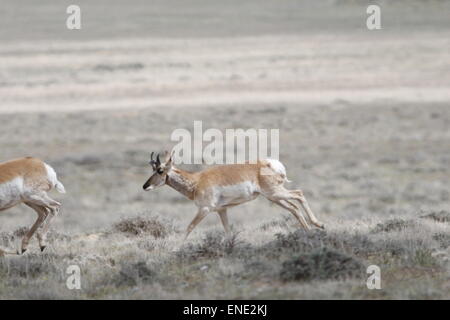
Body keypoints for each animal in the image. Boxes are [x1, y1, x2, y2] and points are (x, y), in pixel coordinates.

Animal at [144, 151, 324, 239]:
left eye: (160, 170)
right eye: (153, 169)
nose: (145, 186)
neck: (197, 180)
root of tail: (270, 163)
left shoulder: (204, 210)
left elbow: (189, 227)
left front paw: (177, 247)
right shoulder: (222, 210)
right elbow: (228, 230)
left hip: (275, 193)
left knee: (299, 194)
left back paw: (319, 224)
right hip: (274, 197)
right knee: (294, 207)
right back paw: (309, 231)